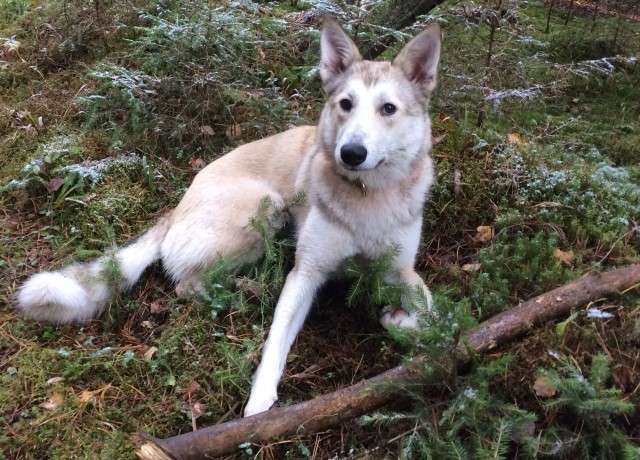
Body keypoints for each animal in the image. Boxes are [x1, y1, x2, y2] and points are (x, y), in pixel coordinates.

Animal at [17, 18, 442, 416]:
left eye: (388, 109)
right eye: (346, 104)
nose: (351, 153)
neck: (367, 196)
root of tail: (178, 206)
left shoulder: (402, 271)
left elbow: (436, 318)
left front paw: (403, 323)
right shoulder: (305, 273)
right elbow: (275, 344)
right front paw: (258, 409)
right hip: (266, 206)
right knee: (187, 284)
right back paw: (243, 290)